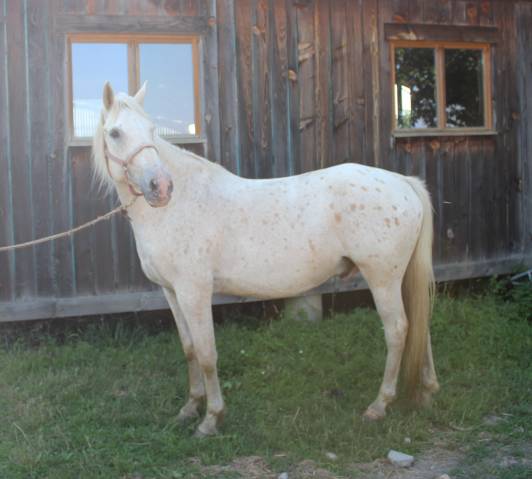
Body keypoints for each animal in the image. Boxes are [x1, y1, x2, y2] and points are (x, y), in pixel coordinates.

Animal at [92, 82, 440, 438]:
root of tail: (403, 182)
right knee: (419, 325)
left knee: (398, 330)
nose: (161, 188)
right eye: (115, 133)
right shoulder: (172, 293)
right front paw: (189, 408)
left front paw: (211, 418)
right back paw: (426, 392)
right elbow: (189, 349)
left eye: (151, 130)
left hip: (382, 278)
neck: (178, 206)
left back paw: (379, 405)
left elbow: (206, 354)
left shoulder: (195, 292)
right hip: (401, 277)